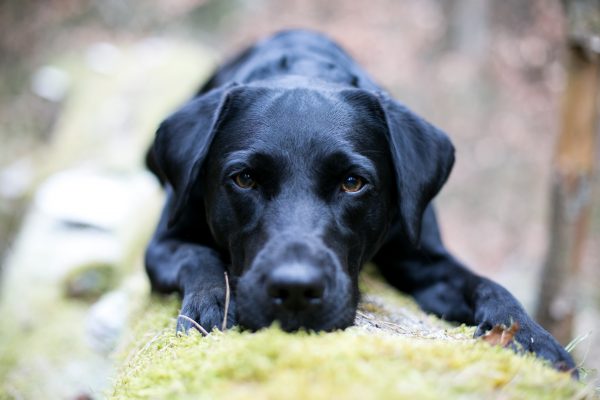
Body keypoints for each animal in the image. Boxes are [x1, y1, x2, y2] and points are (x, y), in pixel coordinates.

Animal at [145, 29, 576, 373]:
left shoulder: (427, 261)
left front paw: (532, 338)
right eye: (244, 179)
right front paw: (216, 302)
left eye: (353, 183)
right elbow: (199, 256)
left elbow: (489, 287)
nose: (296, 290)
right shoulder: (163, 243)